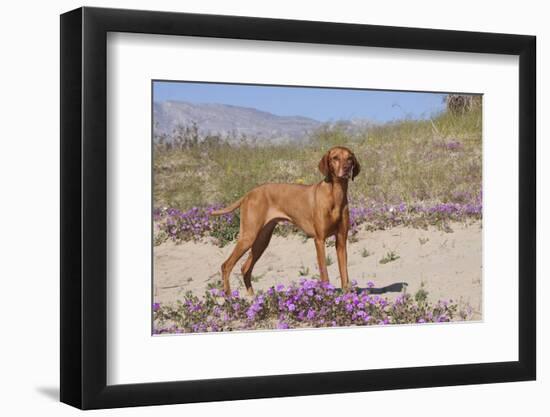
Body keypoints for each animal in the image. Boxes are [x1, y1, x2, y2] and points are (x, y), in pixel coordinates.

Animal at [212, 146, 362, 296]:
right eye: (335, 158)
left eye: (349, 158)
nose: (347, 168)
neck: (335, 195)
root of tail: (249, 193)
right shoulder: (319, 240)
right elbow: (324, 272)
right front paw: (325, 294)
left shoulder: (341, 240)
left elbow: (344, 272)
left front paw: (347, 295)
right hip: (248, 236)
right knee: (226, 265)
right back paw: (229, 296)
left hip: (262, 241)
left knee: (245, 268)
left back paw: (252, 297)